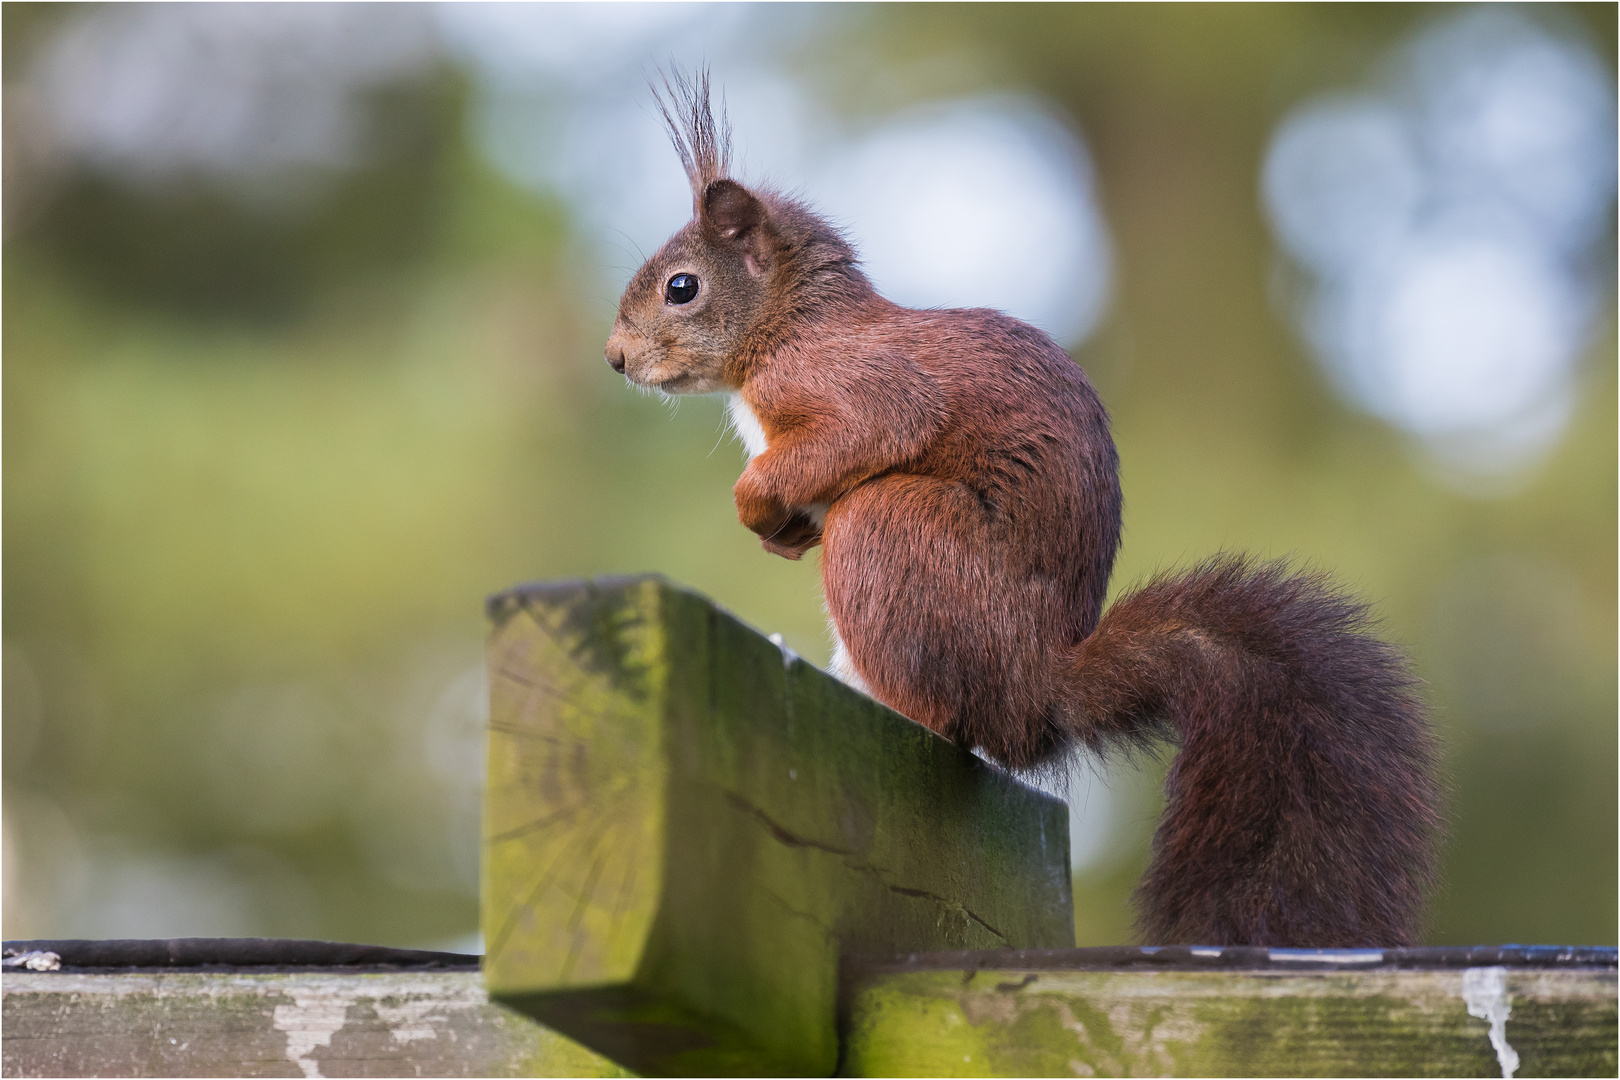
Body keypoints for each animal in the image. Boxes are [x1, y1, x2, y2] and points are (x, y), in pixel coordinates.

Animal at [602, 74, 1438, 945]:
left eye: (682, 287)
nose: (615, 358)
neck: (788, 327)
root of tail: (1034, 687)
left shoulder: (855, 386)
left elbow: (873, 427)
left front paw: (754, 500)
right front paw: (783, 533)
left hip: (892, 528)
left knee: (945, 715)